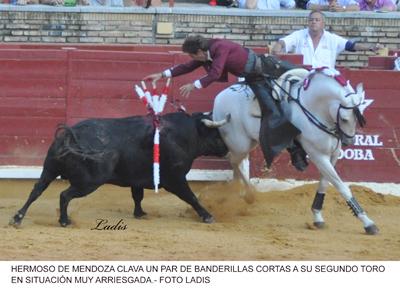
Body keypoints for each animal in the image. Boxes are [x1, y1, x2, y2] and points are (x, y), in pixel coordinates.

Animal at [9, 111, 227, 226]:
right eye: (216, 135)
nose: (226, 149)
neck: (185, 134)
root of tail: (71, 134)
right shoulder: (175, 179)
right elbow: (191, 197)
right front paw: (207, 216)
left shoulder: (137, 178)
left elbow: (137, 196)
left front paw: (140, 213)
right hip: (89, 182)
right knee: (65, 195)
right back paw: (64, 221)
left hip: (49, 169)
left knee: (36, 190)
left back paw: (18, 217)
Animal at [208, 68, 380, 235]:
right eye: (344, 118)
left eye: (358, 117)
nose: (349, 142)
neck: (315, 108)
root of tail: (219, 97)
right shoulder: (318, 155)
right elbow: (342, 187)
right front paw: (368, 223)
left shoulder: (333, 155)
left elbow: (325, 183)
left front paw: (317, 216)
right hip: (240, 143)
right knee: (233, 160)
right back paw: (248, 194)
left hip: (250, 142)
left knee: (237, 163)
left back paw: (237, 193)